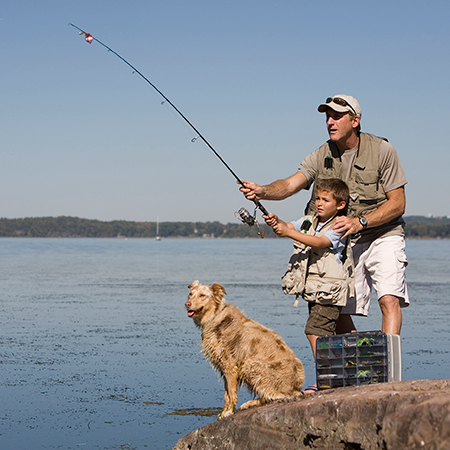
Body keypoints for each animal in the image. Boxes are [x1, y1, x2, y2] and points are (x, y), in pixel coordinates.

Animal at [185, 282, 304, 418]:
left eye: (202, 295)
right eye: (190, 294)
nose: (187, 304)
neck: (215, 315)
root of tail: (297, 387)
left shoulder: (230, 365)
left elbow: (231, 393)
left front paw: (229, 411)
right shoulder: (224, 367)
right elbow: (226, 394)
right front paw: (223, 413)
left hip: (250, 364)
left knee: (274, 396)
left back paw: (249, 403)